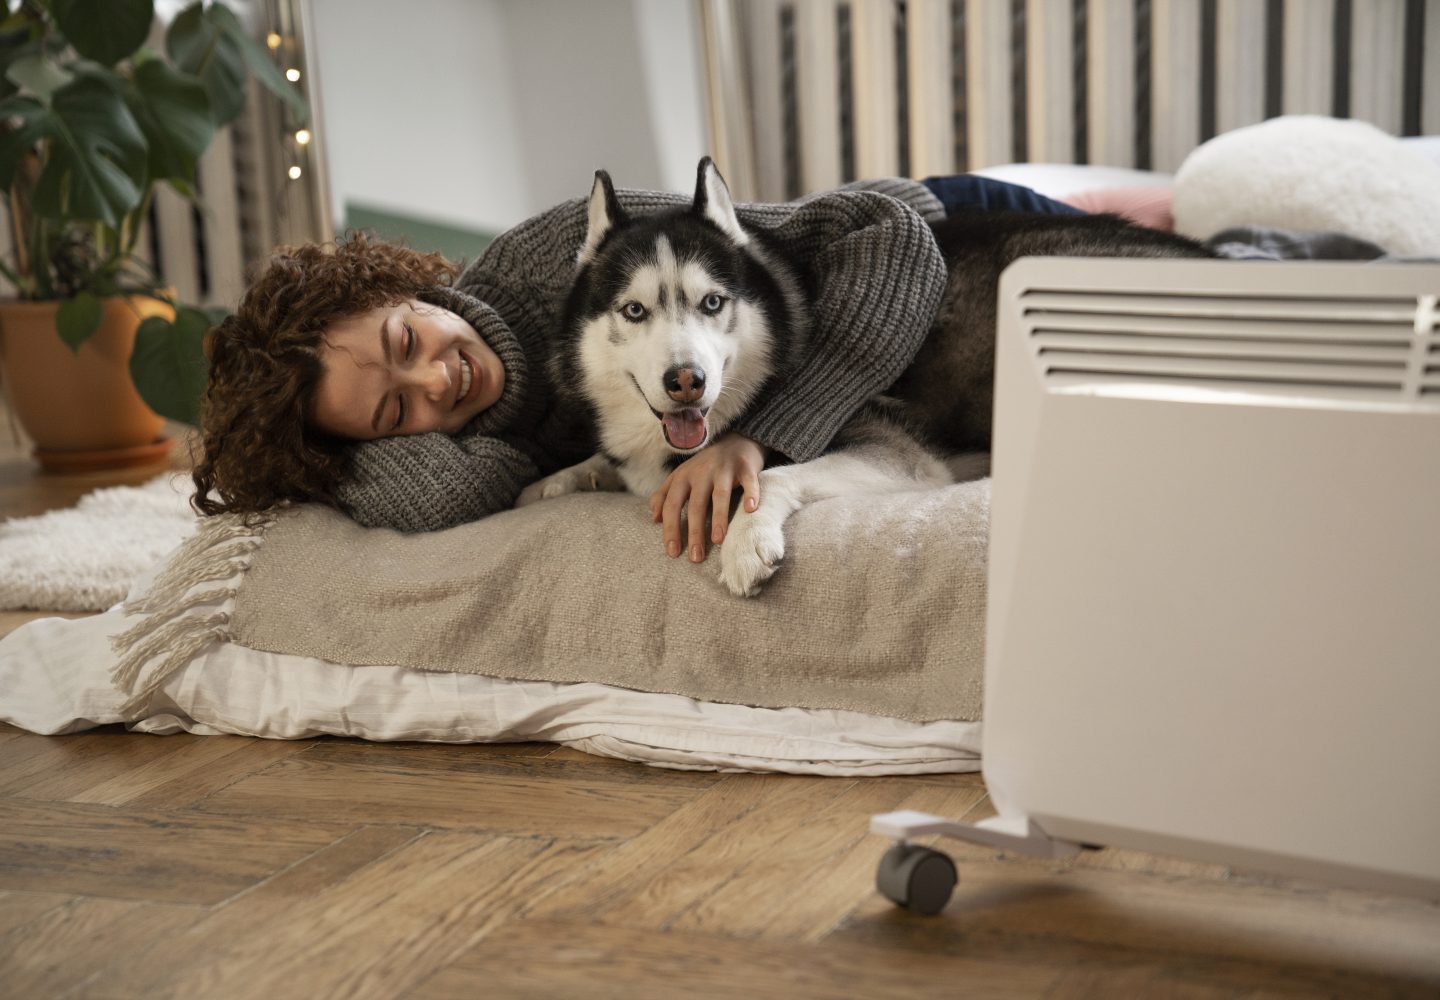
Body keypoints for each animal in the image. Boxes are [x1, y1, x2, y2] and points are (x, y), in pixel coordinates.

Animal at [518, 158, 1203, 596]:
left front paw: (746, 539)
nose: (686, 380)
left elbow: (774, 472)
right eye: (634, 311)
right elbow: (601, 465)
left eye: (712, 303)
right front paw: (550, 481)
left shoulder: (900, 454)